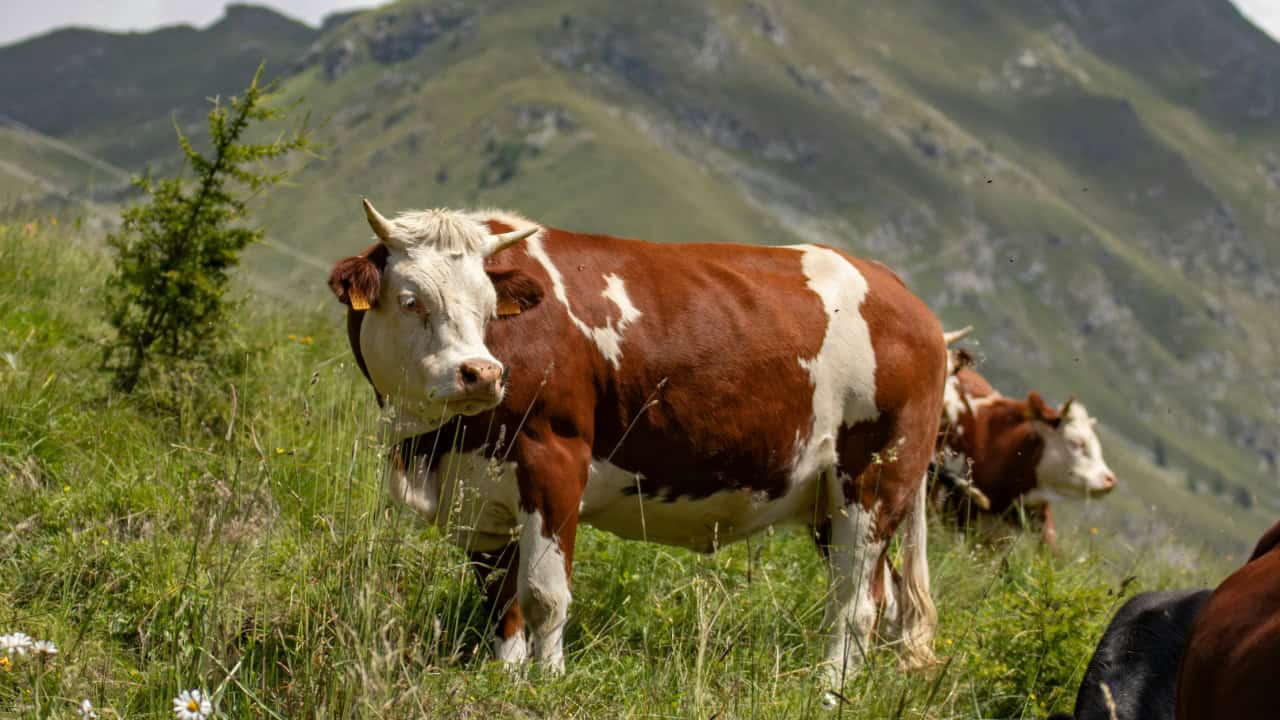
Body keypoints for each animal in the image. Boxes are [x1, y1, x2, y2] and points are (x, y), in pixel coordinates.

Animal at [328, 199, 949, 685]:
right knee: (882, 595)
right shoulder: (471, 493)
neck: (431, 447)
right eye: (411, 300)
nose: (480, 374)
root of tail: (902, 294)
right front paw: (505, 676)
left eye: (487, 306)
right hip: (830, 500)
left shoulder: (554, 459)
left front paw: (548, 682)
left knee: (856, 603)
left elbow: (544, 594)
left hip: (875, 479)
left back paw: (828, 691)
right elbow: (500, 596)